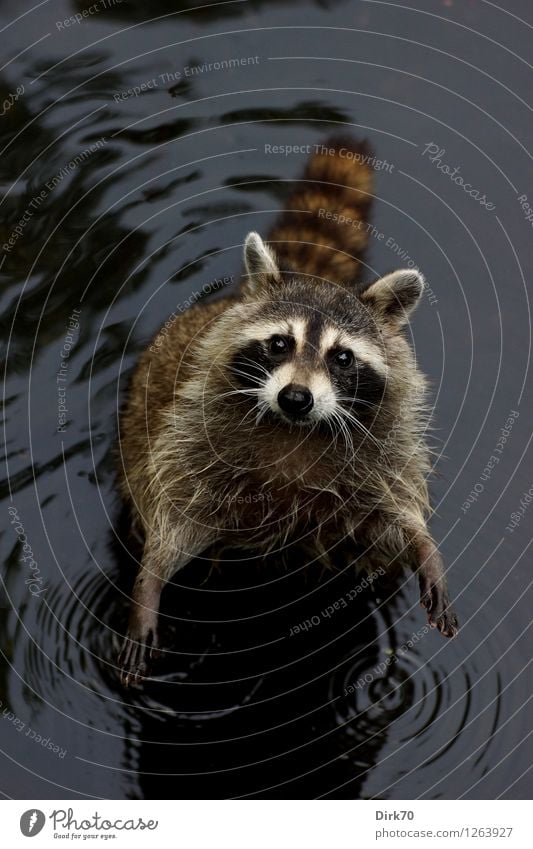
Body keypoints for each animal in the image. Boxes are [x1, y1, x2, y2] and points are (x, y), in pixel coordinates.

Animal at [117, 136, 458, 684]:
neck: (297, 431)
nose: (296, 398)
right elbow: (176, 517)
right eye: (279, 343)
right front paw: (149, 582)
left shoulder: (383, 448)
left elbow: (394, 515)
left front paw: (424, 546)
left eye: (342, 357)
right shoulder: (192, 438)